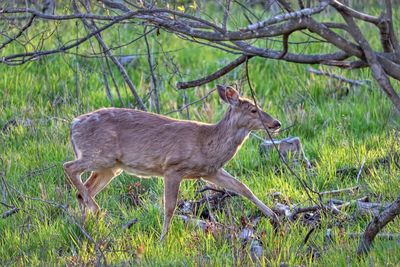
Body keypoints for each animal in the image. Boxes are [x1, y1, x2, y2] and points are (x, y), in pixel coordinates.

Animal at [63, 85, 282, 240]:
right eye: (253, 109)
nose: (276, 123)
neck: (207, 142)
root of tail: (73, 125)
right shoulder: (173, 168)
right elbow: (169, 207)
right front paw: (163, 239)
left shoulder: (210, 171)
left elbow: (243, 188)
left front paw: (274, 217)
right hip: (100, 155)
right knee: (69, 167)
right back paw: (96, 211)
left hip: (110, 167)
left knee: (83, 191)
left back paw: (86, 224)